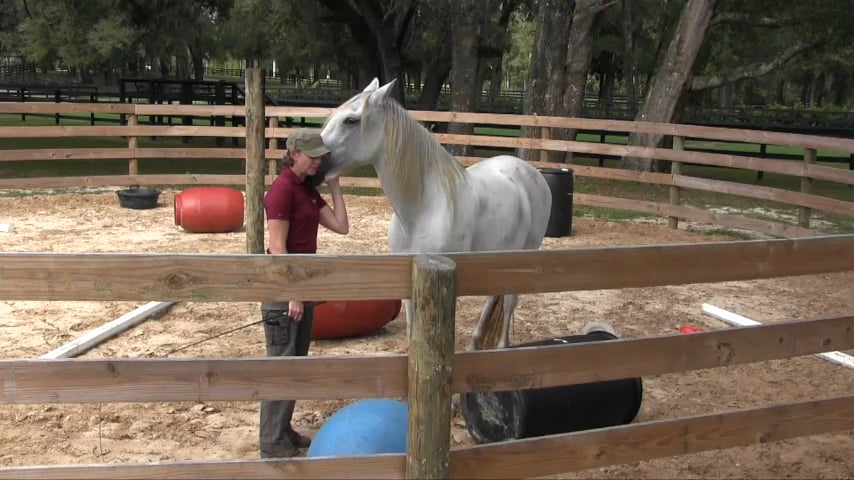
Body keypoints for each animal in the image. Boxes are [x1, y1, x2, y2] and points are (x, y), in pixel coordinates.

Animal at [319, 78, 552, 350]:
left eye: (351, 120)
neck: (421, 209)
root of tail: (533, 173)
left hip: (526, 253)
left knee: (509, 301)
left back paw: (502, 346)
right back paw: (475, 343)